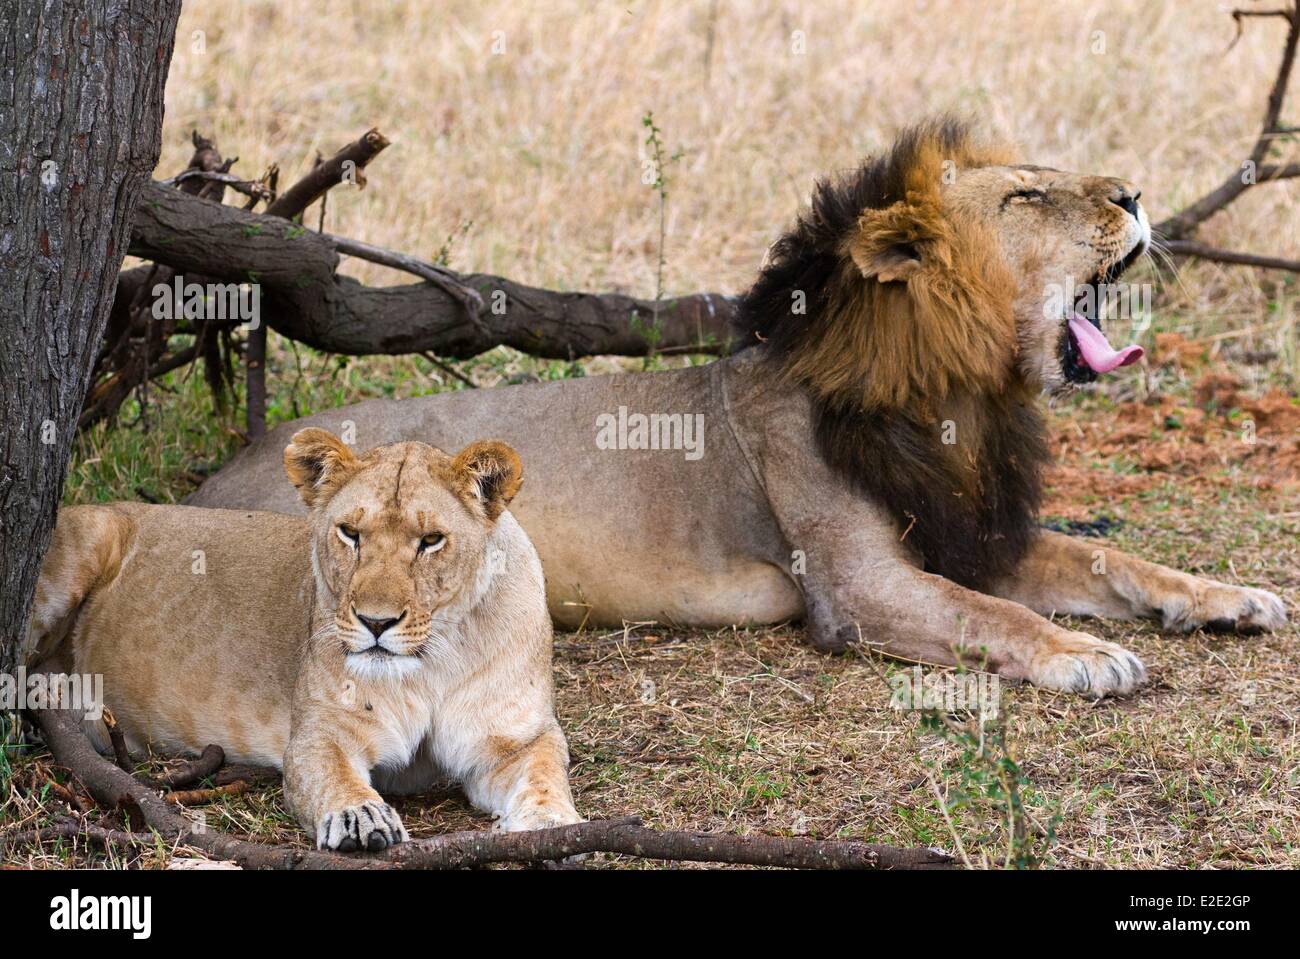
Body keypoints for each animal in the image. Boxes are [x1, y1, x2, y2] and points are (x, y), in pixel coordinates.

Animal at [27, 431, 581, 850]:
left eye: (431, 541)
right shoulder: (318, 732)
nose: (375, 622)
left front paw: (552, 824)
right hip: (75, 554)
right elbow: (333, 774)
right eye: (351, 533)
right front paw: (360, 817)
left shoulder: (515, 737)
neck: (431, 662)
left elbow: (546, 772)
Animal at [188, 119, 1286, 698]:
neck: (960, 398)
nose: (1137, 194)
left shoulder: (970, 531)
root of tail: (216, 474)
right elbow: (994, 614)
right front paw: (1086, 652)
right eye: (1026, 196)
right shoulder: (859, 586)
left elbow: (1110, 559)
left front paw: (1229, 595)